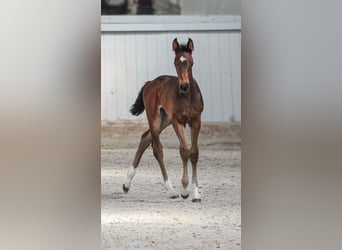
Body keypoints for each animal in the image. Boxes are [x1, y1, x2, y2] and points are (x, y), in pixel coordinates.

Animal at [122, 38, 203, 202]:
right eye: (175, 63)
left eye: (191, 63)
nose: (184, 86)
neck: (187, 96)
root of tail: (151, 83)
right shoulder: (178, 121)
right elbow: (184, 151)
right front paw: (184, 190)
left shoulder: (196, 121)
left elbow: (194, 153)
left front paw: (196, 193)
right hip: (155, 118)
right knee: (157, 148)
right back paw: (170, 190)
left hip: (165, 119)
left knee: (145, 138)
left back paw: (126, 184)